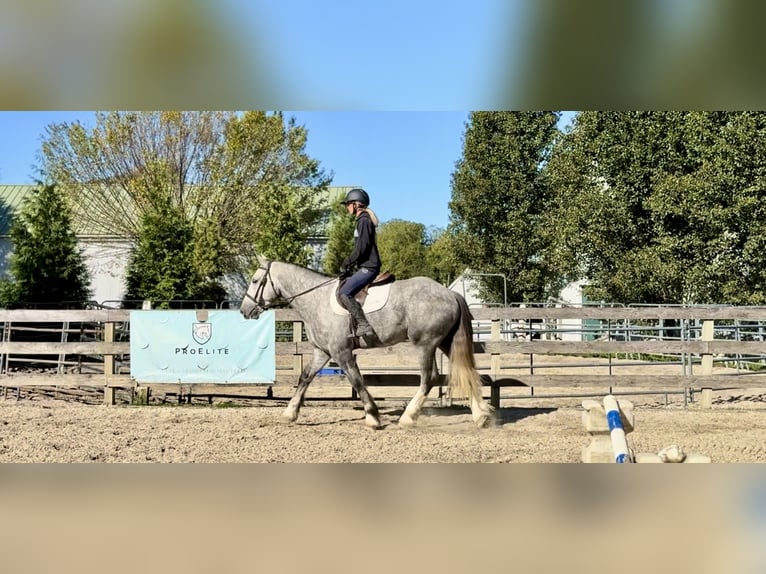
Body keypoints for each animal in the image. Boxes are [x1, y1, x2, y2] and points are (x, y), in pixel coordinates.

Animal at [239, 255, 494, 429]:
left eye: (255, 280)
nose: (244, 310)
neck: (315, 299)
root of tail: (450, 294)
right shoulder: (323, 352)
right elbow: (305, 378)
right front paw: (290, 413)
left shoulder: (341, 352)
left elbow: (357, 381)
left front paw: (373, 417)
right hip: (446, 343)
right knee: (466, 372)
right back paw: (481, 416)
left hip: (426, 344)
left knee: (428, 379)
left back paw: (408, 417)